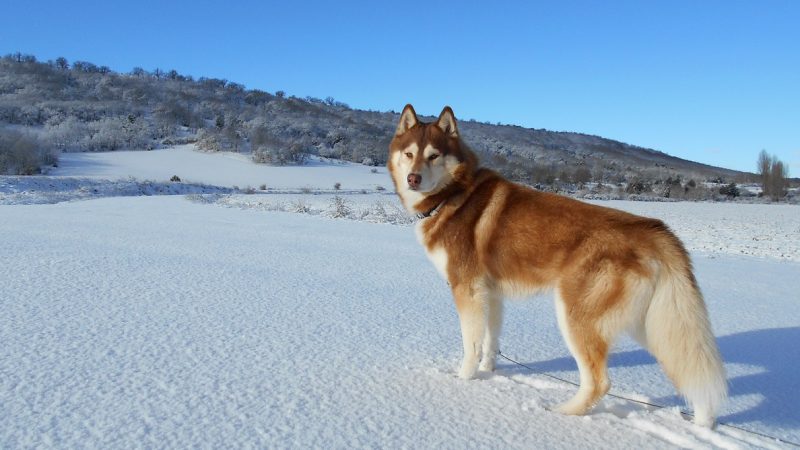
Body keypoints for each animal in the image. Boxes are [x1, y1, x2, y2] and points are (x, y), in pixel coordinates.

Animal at [386, 103, 724, 428]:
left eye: (434, 155)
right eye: (409, 154)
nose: (413, 178)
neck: (453, 194)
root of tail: (652, 229)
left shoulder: (466, 289)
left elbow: (471, 344)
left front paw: (463, 380)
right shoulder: (490, 293)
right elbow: (489, 341)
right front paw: (488, 371)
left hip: (576, 317)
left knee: (599, 382)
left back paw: (562, 413)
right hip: (653, 324)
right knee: (689, 365)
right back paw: (704, 421)